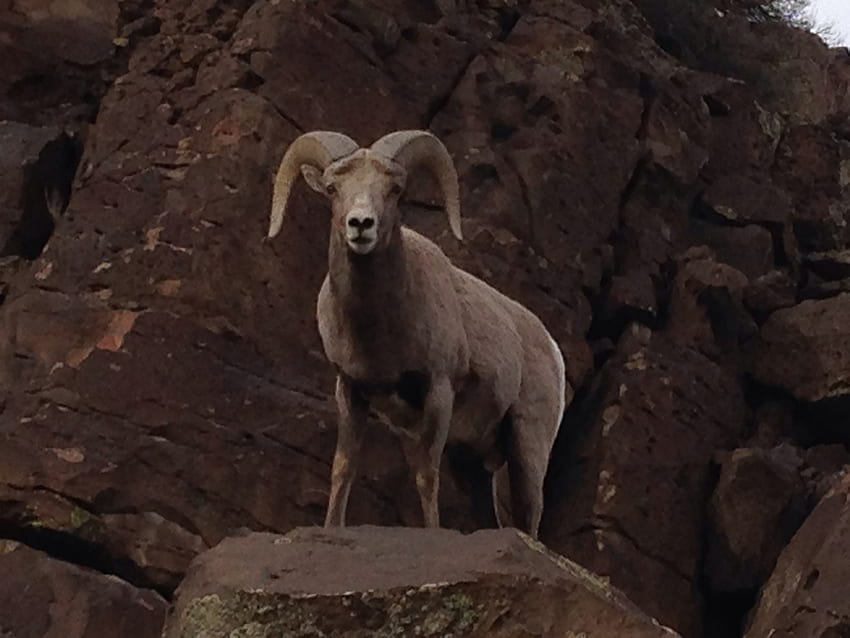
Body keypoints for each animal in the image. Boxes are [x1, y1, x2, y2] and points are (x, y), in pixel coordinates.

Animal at [268, 130, 568, 540]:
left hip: (528, 446)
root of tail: (552, 348)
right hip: (471, 462)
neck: (381, 332)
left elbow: (426, 476)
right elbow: (343, 468)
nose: (360, 224)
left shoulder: (438, 392)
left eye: (395, 189)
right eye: (332, 188)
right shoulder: (350, 390)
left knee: (530, 516)